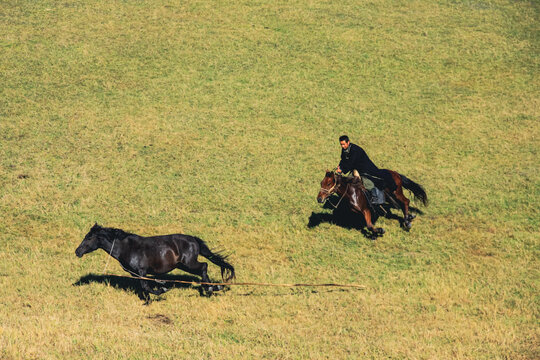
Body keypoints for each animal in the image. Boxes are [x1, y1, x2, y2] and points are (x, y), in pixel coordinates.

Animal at [75, 224, 235, 296]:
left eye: (88, 238)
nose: (77, 252)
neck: (126, 247)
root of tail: (193, 239)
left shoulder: (141, 271)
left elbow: (147, 287)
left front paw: (162, 289)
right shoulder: (136, 273)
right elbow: (145, 287)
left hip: (188, 264)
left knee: (204, 266)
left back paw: (211, 288)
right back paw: (211, 287)